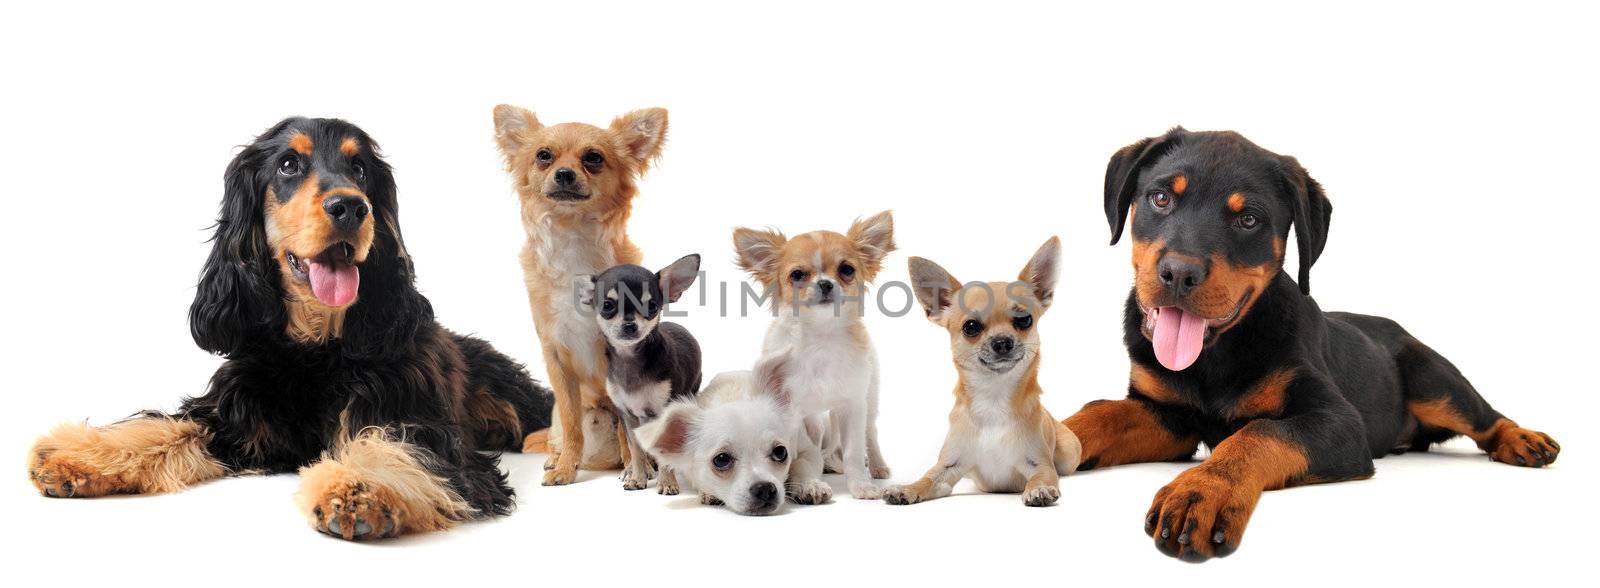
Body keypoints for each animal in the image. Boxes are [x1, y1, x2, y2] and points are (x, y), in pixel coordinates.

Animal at [1068, 127, 1555, 559]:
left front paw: (1202, 491)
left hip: (1433, 378)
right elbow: (1103, 412)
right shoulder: (1168, 413)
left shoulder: (1337, 421)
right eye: (1161, 198)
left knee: (1483, 417)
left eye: (1248, 220)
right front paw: (1058, 439)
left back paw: (1524, 440)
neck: (1215, 354)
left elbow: (1257, 433)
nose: (1178, 273)